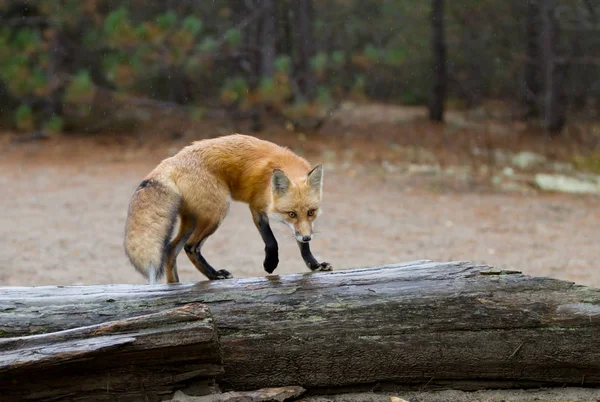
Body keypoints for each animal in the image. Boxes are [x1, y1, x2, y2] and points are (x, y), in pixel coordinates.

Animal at [123, 133, 330, 284]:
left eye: (311, 212)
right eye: (291, 214)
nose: (307, 237)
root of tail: (171, 160)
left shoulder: (302, 227)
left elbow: (303, 247)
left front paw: (314, 265)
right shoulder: (256, 207)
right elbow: (271, 241)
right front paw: (270, 264)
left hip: (193, 220)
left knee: (171, 249)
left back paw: (175, 285)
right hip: (217, 213)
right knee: (190, 247)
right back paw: (215, 275)